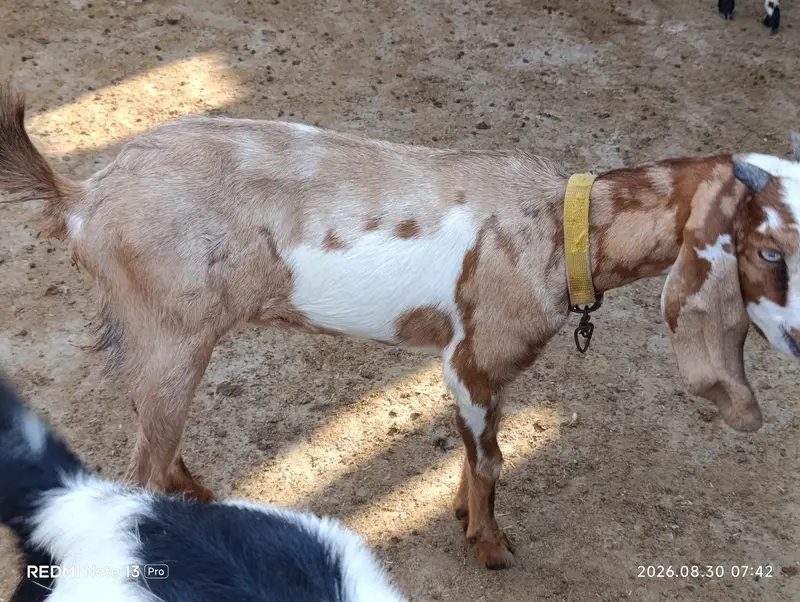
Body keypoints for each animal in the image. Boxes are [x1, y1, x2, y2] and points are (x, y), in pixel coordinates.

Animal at [2, 84, 800, 569]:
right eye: (769, 248)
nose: (794, 339)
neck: (562, 230)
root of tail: (84, 198)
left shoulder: (478, 370)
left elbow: (476, 449)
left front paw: (463, 515)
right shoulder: (473, 358)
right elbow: (492, 459)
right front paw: (491, 546)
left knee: (151, 447)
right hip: (171, 337)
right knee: (138, 464)